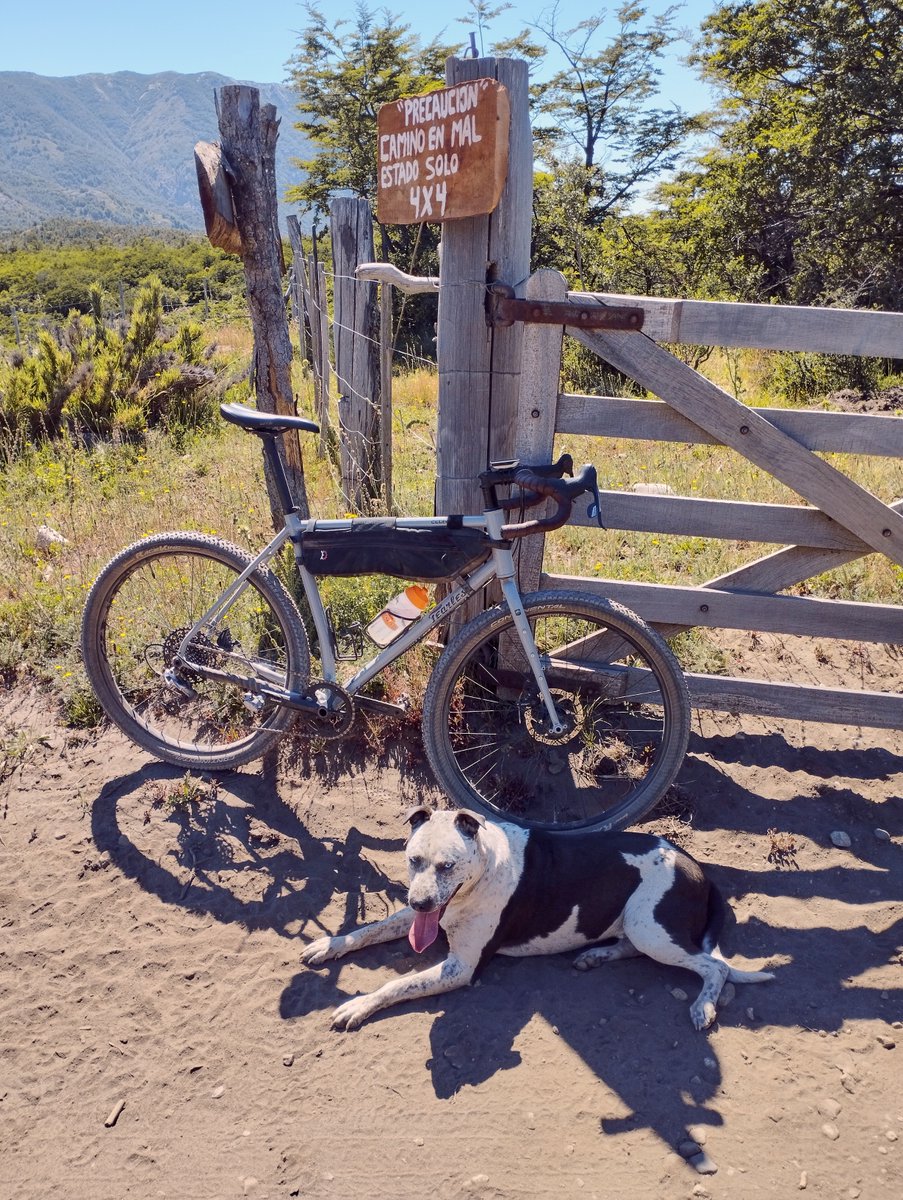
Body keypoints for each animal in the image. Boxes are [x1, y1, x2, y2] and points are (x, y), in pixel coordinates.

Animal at [300, 806, 773, 1032]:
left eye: (448, 866)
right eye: (414, 860)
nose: (420, 903)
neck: (484, 869)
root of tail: (697, 867)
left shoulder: (460, 967)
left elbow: (396, 984)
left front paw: (359, 1005)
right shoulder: (421, 919)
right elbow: (368, 929)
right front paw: (330, 944)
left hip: (652, 928)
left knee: (715, 967)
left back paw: (703, 1006)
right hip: (641, 929)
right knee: (632, 947)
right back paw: (595, 956)